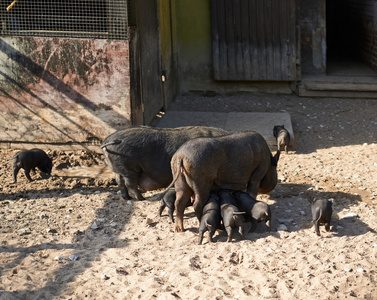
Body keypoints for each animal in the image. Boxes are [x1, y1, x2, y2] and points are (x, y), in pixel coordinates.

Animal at [100, 125, 228, 200]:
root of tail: (107, 140)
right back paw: (141, 198)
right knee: (129, 184)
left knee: (120, 182)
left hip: (119, 168)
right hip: (130, 167)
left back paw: (127, 198)